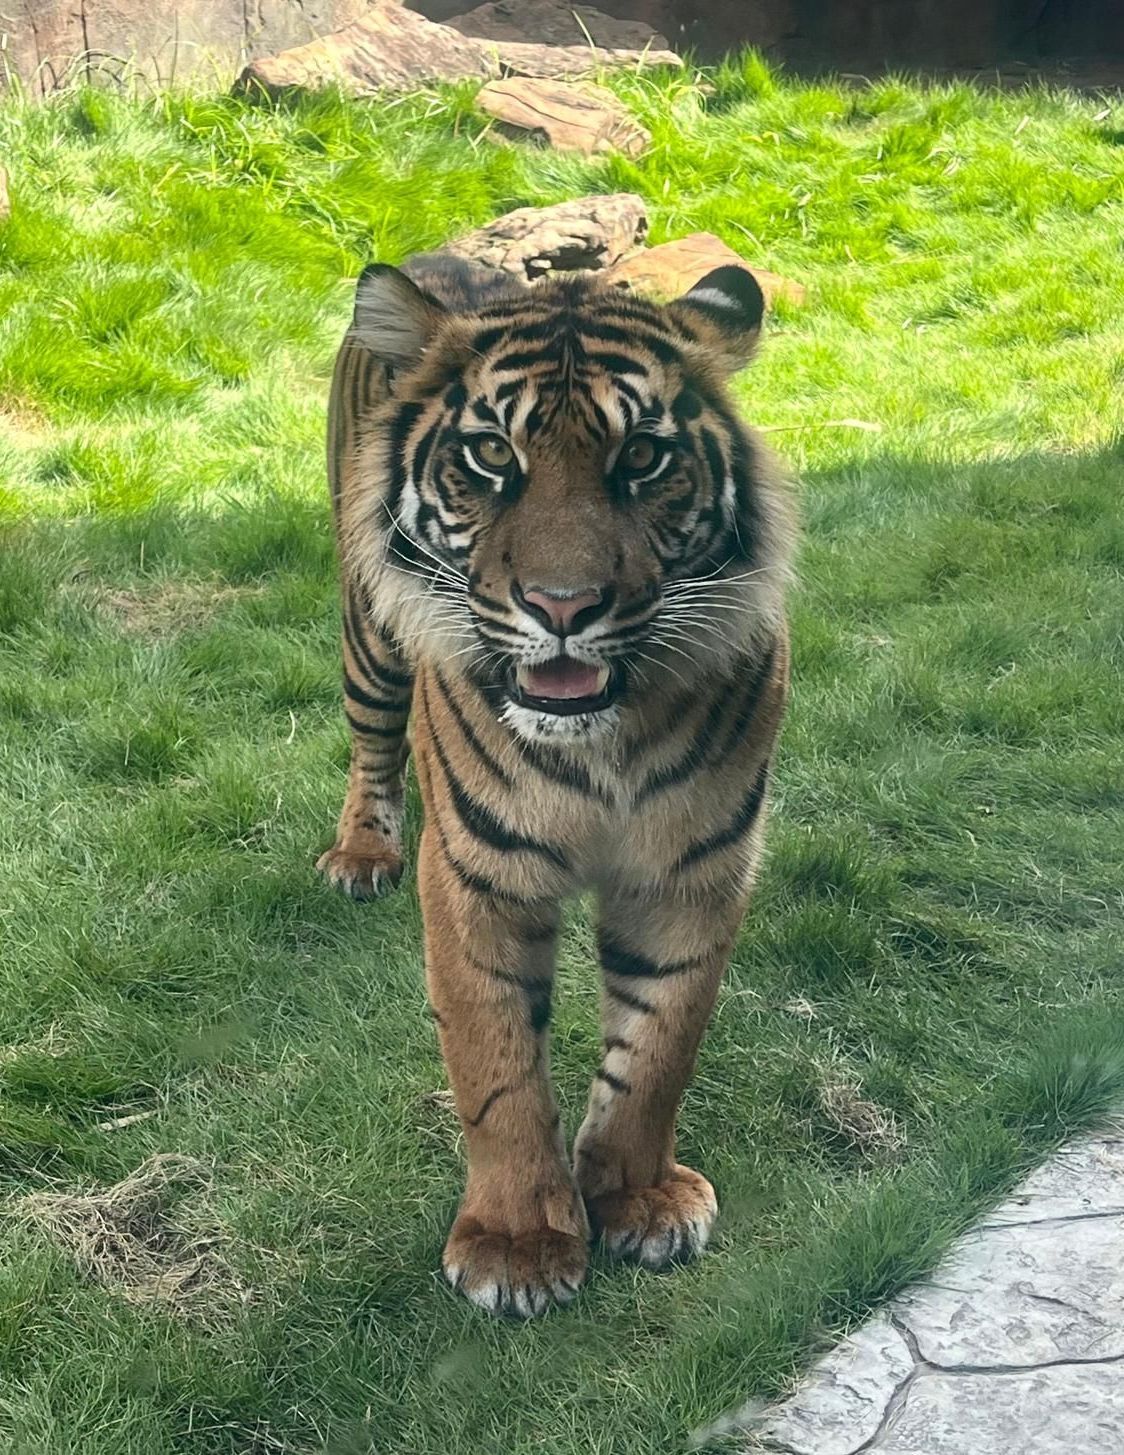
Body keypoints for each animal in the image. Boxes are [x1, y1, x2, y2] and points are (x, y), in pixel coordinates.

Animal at [317, 249, 794, 1318]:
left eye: (644, 458)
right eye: (493, 456)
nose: (563, 607)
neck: (599, 749)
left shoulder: (692, 869)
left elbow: (659, 1046)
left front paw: (640, 1197)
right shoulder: (475, 877)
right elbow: (495, 1065)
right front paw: (515, 1243)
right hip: (368, 628)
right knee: (371, 742)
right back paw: (359, 853)